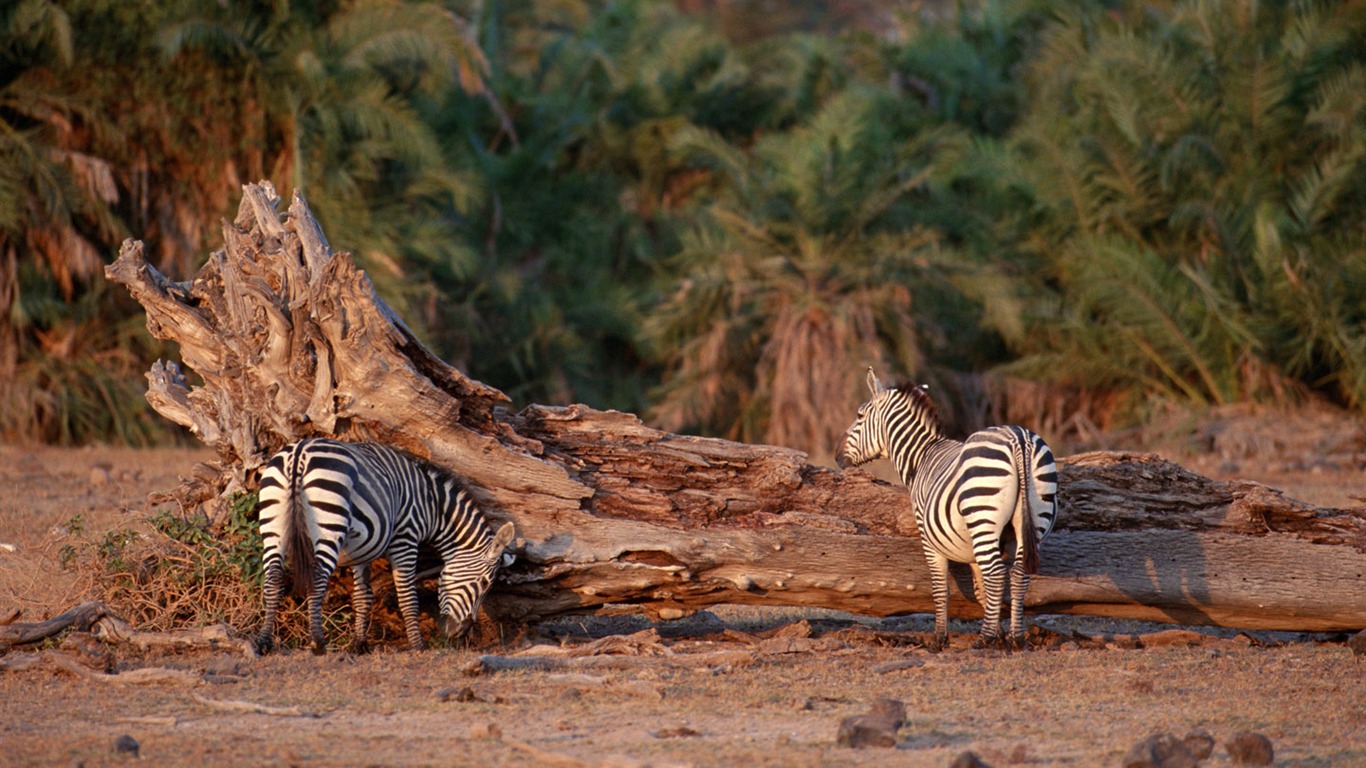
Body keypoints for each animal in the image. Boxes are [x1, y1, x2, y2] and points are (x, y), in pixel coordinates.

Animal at [254, 437, 513, 650]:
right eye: (484, 583)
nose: (460, 633)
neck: (433, 507)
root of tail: (300, 451)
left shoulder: (361, 550)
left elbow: (362, 596)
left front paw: (359, 644)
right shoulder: (405, 539)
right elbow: (407, 597)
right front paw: (418, 645)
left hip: (273, 522)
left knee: (273, 578)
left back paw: (264, 642)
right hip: (328, 523)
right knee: (316, 578)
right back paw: (317, 642)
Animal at [835, 363, 1060, 645]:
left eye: (859, 415)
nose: (836, 456)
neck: (921, 457)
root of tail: (1019, 439)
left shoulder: (928, 537)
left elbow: (940, 588)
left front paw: (940, 637)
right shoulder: (974, 547)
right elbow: (981, 588)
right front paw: (997, 630)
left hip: (983, 516)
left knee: (997, 573)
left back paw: (983, 639)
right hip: (1032, 519)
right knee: (1018, 573)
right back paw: (1016, 638)